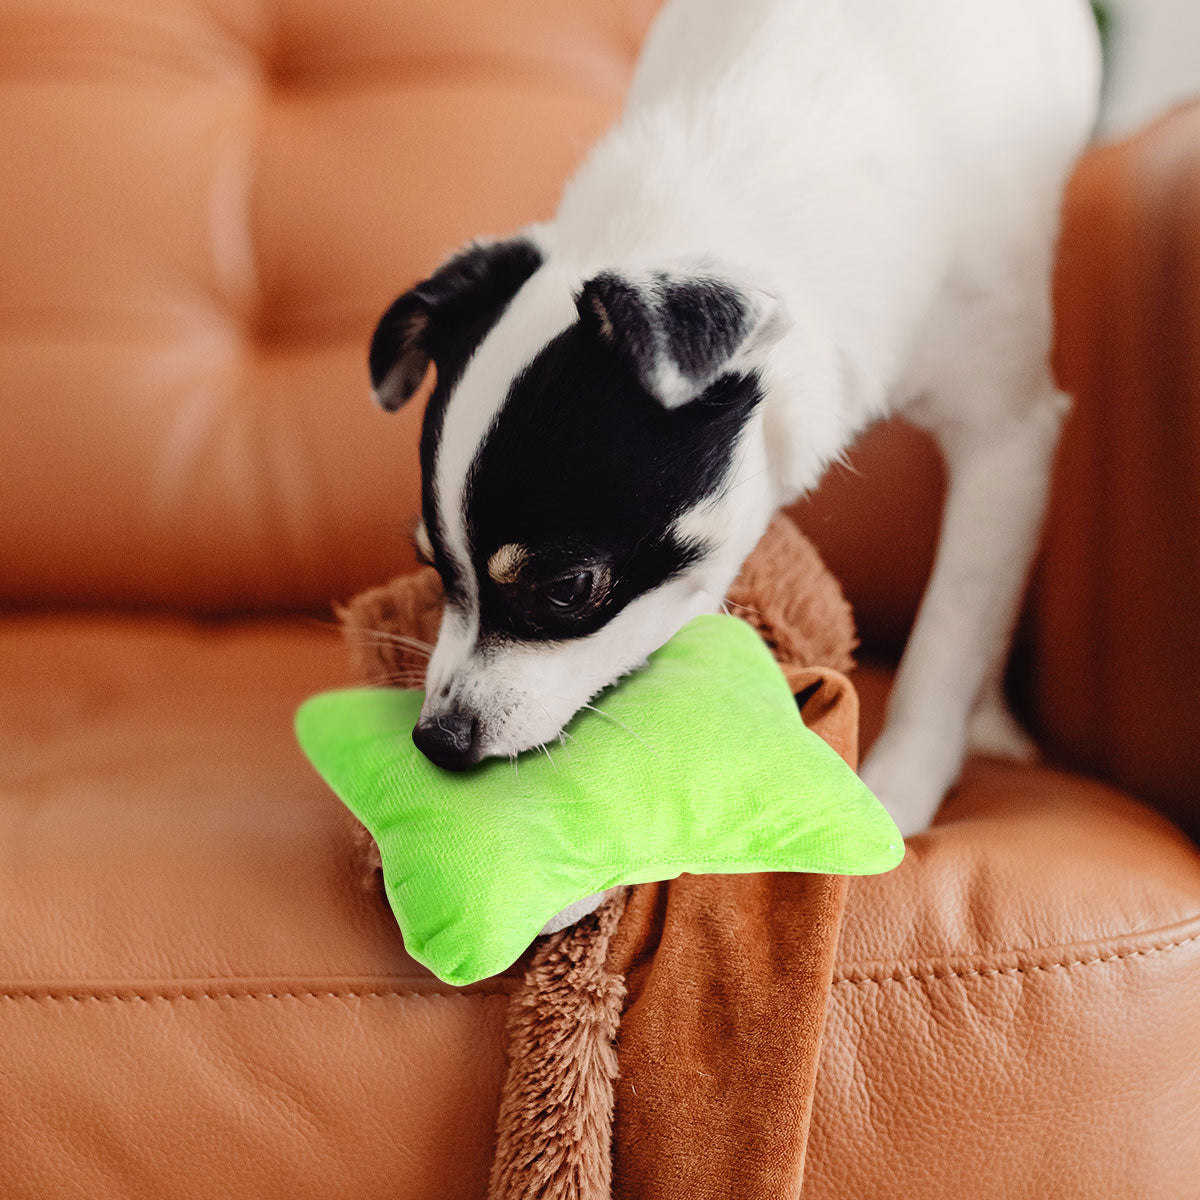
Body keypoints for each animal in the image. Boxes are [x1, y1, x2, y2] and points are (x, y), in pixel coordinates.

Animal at [369, 0, 1099, 840]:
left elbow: (953, 626)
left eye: (566, 589)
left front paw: (900, 790)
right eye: (431, 567)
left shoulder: (1008, 436)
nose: (437, 739)